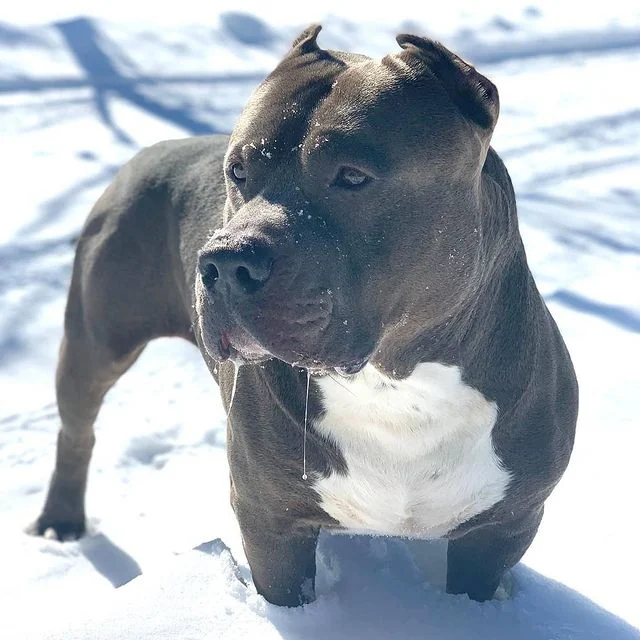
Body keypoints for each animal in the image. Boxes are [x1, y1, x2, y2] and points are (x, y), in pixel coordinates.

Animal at [34, 25, 579, 607]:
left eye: (352, 176)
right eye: (237, 172)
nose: (225, 262)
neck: (398, 390)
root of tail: (151, 150)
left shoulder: (503, 528)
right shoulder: (271, 523)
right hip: (95, 340)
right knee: (77, 429)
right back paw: (60, 523)